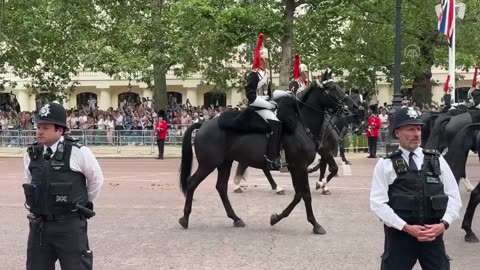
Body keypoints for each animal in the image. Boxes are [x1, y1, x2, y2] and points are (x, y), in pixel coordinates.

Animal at [178, 70, 358, 233]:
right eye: (332, 88)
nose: (354, 106)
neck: (301, 124)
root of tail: (203, 124)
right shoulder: (299, 165)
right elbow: (305, 194)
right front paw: (315, 224)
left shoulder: (298, 166)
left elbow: (300, 193)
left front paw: (277, 217)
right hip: (208, 163)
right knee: (192, 183)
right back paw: (185, 218)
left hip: (225, 162)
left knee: (221, 187)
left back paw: (236, 218)